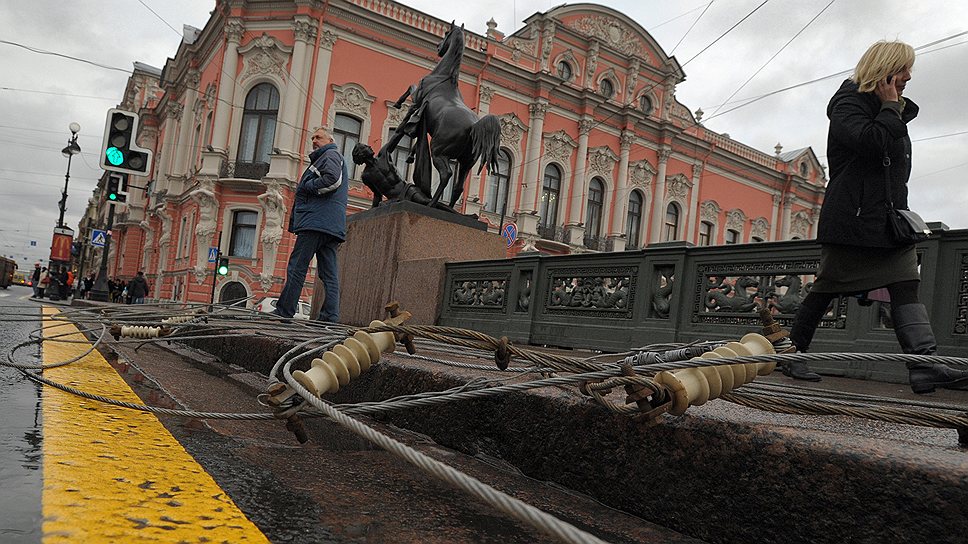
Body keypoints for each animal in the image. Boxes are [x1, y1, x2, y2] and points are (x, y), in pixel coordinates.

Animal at [392, 22, 502, 208]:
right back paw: (449, 209)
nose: (438, 47)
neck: (444, 76)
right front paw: (411, 154)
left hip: (438, 152)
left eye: (445, 33)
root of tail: (473, 126)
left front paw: (398, 103)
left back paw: (431, 204)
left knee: (446, 174)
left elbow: (410, 88)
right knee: (458, 187)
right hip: (466, 162)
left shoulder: (417, 100)